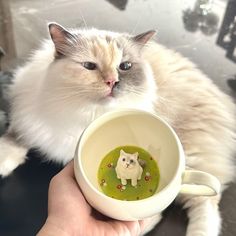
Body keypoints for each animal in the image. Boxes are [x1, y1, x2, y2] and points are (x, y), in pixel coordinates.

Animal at [0, 22, 236, 236]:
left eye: (125, 66)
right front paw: (4, 163)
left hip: (193, 156)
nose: (112, 81)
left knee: (205, 205)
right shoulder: (31, 120)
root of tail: (225, 101)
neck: (89, 114)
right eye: (89, 66)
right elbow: (16, 139)